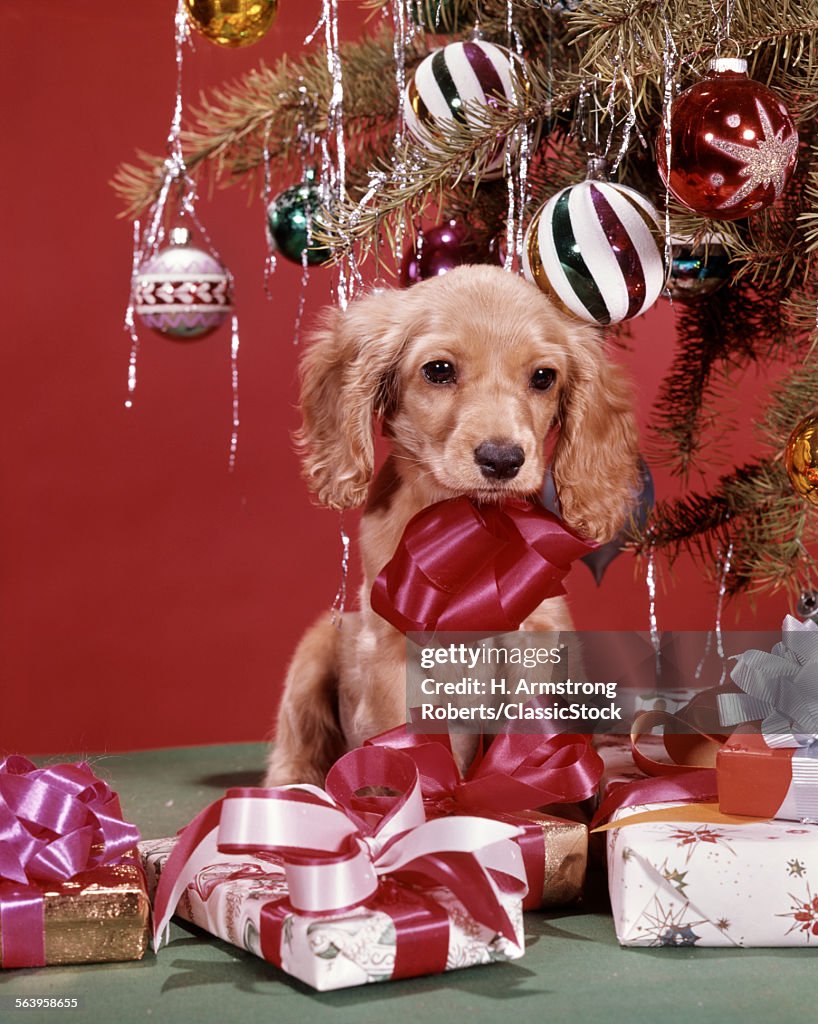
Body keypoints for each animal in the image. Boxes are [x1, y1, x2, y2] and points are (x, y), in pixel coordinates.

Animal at [266, 264, 634, 782]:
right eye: (438, 371)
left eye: (543, 377)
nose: (502, 459)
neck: (468, 523)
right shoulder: (393, 644)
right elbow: (408, 741)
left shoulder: (537, 632)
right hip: (316, 646)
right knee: (294, 751)